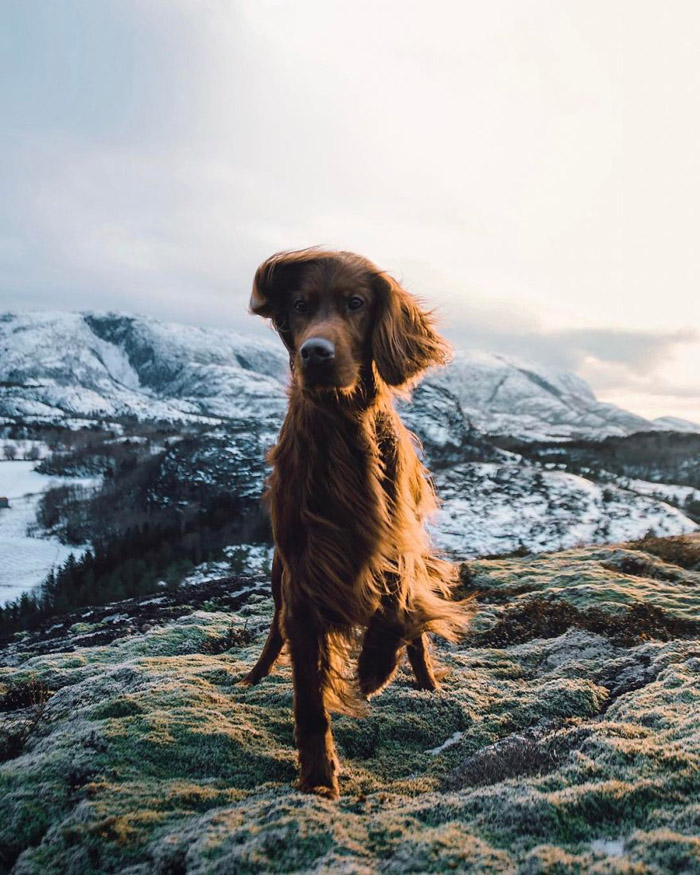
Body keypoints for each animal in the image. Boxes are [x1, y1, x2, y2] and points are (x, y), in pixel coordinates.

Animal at [242, 248, 470, 800]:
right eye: (300, 305)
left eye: (355, 303)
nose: (315, 353)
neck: (345, 427)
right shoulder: (305, 577)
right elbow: (308, 695)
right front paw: (318, 778)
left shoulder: (397, 538)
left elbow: (398, 609)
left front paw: (373, 669)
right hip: (278, 580)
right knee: (274, 636)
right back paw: (252, 678)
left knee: (416, 637)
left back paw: (425, 683)